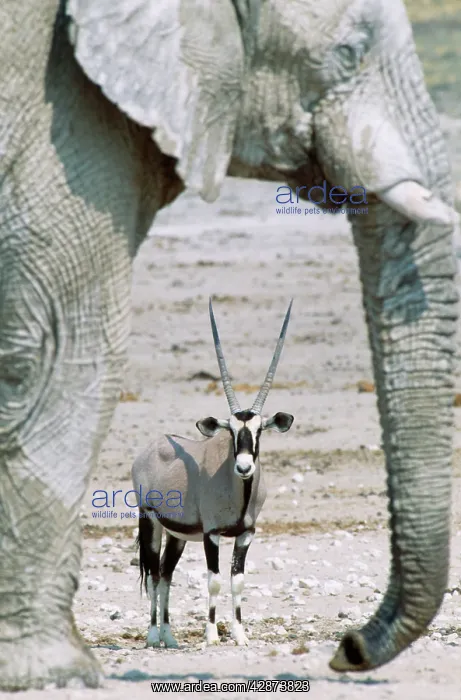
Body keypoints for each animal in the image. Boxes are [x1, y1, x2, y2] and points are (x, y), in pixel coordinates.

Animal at [0, 0, 459, 690]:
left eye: (262, 430)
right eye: (231, 430)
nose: (242, 467)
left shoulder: (243, 536)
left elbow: (239, 584)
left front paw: (239, 632)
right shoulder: (214, 534)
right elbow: (214, 584)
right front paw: (214, 633)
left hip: (178, 532)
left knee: (165, 568)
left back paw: (166, 633)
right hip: (155, 522)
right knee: (156, 570)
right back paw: (158, 633)